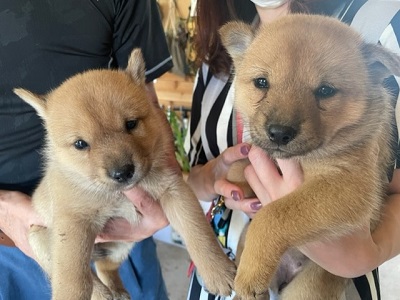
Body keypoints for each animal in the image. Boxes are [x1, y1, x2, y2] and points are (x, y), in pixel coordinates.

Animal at [14, 49, 236, 300]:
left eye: (131, 124)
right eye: (80, 144)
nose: (122, 173)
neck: (115, 194)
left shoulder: (174, 190)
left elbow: (197, 231)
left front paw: (217, 270)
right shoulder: (72, 223)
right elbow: (72, 276)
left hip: (122, 244)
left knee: (104, 267)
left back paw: (117, 292)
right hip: (39, 239)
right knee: (85, 274)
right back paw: (102, 294)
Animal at [220, 14, 400, 300]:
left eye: (325, 90)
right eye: (261, 83)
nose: (279, 133)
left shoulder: (349, 187)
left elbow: (273, 215)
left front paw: (250, 271)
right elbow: (242, 163)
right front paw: (235, 186)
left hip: (307, 288)